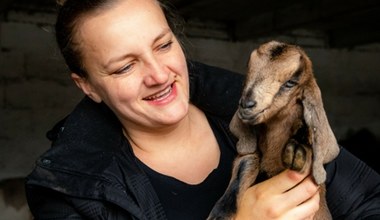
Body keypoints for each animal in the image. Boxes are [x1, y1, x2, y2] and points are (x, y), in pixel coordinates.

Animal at [209, 41, 340, 220]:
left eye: (290, 83)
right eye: (248, 69)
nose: (246, 105)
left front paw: (298, 150)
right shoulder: (249, 155)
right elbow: (243, 168)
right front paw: (219, 214)